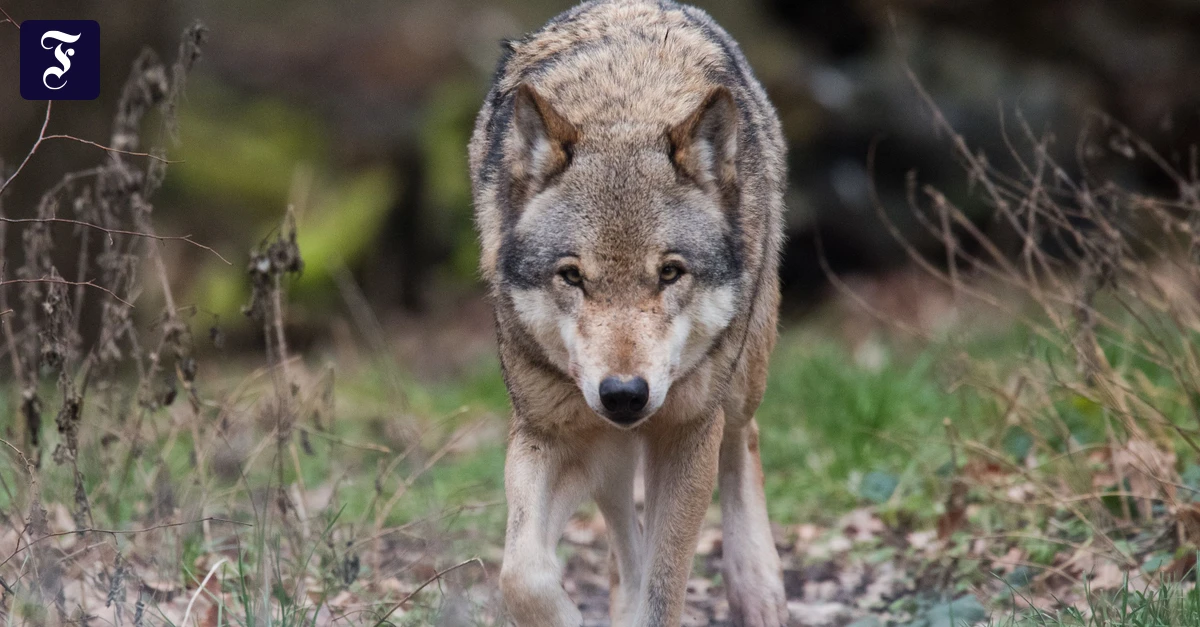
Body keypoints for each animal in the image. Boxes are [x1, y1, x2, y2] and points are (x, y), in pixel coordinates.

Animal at [469, 1, 787, 624]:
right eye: (572, 276)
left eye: (669, 273)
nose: (623, 394)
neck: (623, 110)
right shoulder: (550, 431)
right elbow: (521, 573)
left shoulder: (688, 432)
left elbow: (663, 592)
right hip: (607, 452)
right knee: (623, 540)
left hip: (738, 382)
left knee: (746, 439)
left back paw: (759, 590)